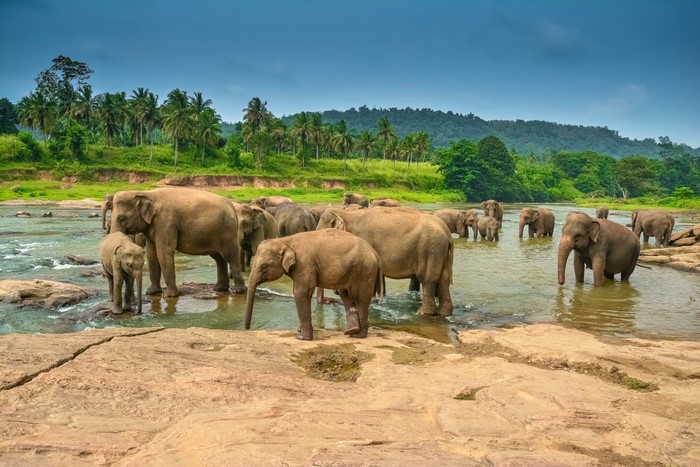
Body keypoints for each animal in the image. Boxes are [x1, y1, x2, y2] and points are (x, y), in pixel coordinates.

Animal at [110, 187, 245, 297]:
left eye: (122, 219)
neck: (145, 193)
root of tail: (232, 206)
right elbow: (151, 253)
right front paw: (151, 292)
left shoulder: (166, 222)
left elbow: (164, 252)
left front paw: (169, 296)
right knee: (219, 258)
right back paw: (219, 289)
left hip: (227, 230)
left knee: (230, 256)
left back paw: (238, 290)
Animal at [245, 229, 384, 340]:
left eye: (263, 266)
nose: (247, 328)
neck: (284, 240)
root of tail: (375, 253)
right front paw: (299, 331)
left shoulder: (304, 264)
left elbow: (301, 293)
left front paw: (302, 337)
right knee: (345, 293)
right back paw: (352, 331)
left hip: (364, 270)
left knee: (361, 297)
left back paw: (358, 335)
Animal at [317, 207, 453, 316]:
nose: (329, 300)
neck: (346, 213)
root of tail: (446, 230)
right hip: (440, 250)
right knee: (444, 280)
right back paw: (444, 313)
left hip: (431, 249)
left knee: (428, 280)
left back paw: (422, 313)